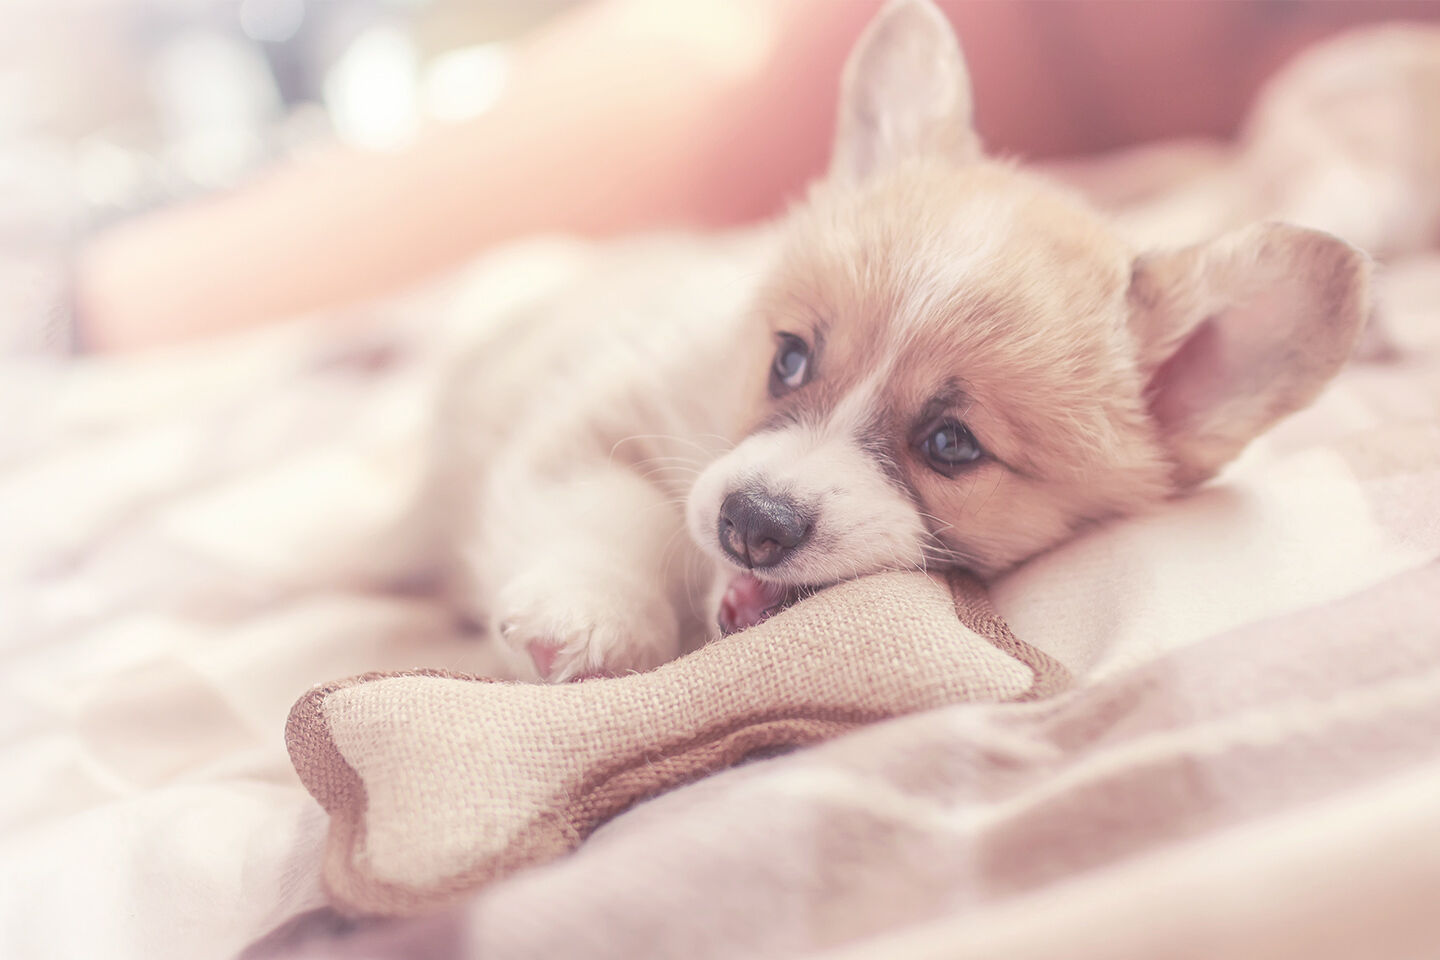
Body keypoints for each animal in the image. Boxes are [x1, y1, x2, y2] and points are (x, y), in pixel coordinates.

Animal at [429, 0, 1370, 687]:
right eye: (789, 358)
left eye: (951, 444)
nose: (752, 524)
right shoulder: (599, 407)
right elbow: (605, 509)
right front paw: (589, 621)